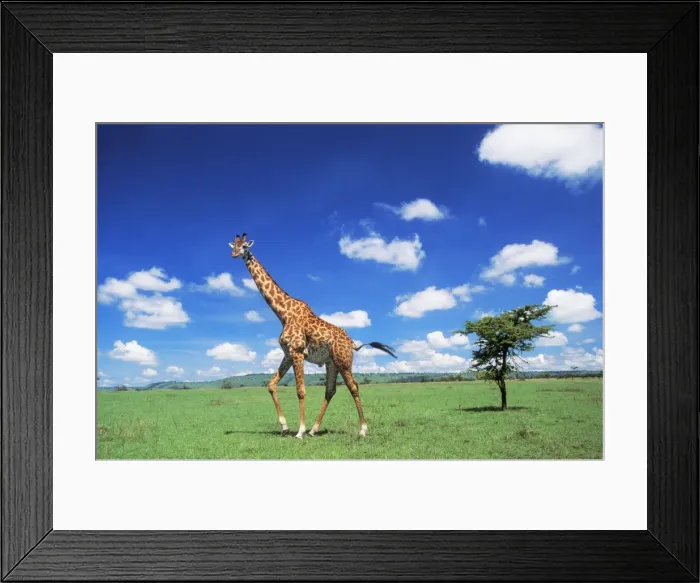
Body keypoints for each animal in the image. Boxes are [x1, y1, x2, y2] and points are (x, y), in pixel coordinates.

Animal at [229, 233, 397, 438]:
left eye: (245, 246)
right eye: (234, 245)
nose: (234, 254)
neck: (283, 314)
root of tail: (352, 343)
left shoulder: (298, 351)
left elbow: (300, 390)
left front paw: (299, 431)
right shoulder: (288, 354)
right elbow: (271, 385)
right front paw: (285, 427)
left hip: (343, 361)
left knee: (354, 387)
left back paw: (362, 429)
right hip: (332, 362)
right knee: (330, 390)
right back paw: (314, 429)